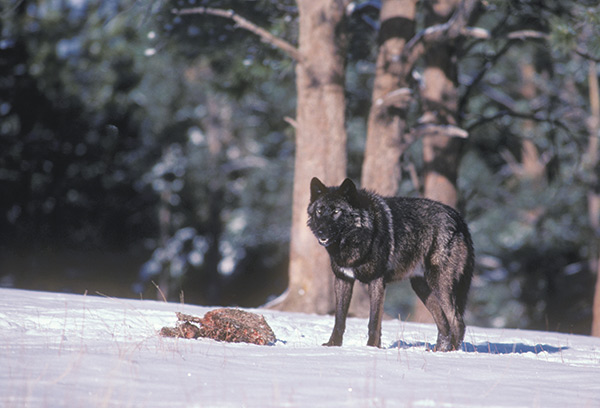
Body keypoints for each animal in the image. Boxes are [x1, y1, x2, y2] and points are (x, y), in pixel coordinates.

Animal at [310, 177, 474, 352]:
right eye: (319, 211)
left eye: (336, 212)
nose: (321, 231)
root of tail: (457, 216)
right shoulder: (343, 279)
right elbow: (339, 319)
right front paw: (333, 345)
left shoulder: (376, 281)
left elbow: (374, 321)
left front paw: (371, 348)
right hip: (422, 288)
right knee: (444, 323)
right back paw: (438, 351)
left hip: (439, 284)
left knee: (457, 322)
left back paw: (451, 352)